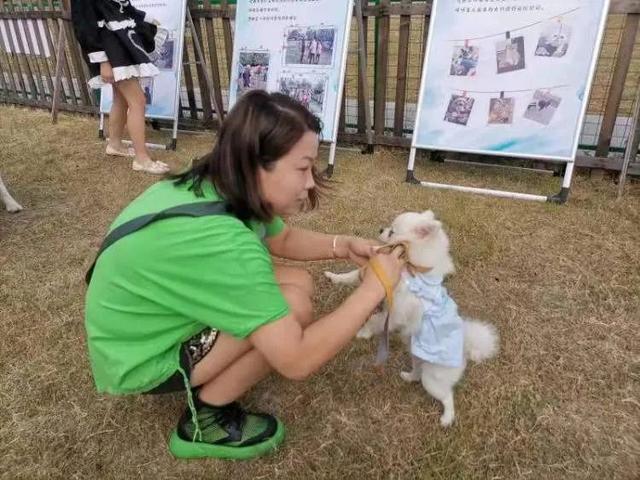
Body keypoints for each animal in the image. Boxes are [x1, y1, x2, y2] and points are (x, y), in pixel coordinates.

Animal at [324, 212, 500, 426]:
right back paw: (408, 377)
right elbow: (351, 276)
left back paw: (446, 418)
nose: (381, 229)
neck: (411, 266)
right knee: (417, 373)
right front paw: (334, 276)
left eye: (392, 231)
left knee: (447, 396)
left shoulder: (395, 313)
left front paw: (362, 333)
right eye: (388, 228)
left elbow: (375, 321)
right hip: (418, 360)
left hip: (433, 379)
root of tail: (465, 345)